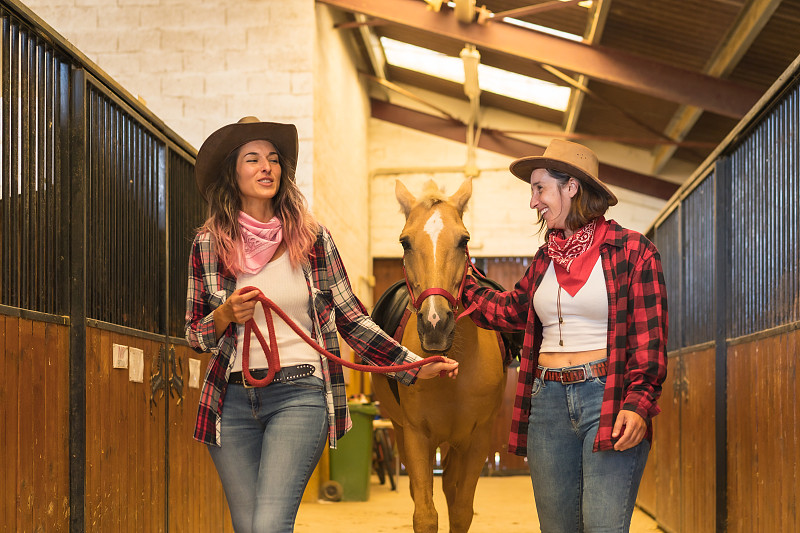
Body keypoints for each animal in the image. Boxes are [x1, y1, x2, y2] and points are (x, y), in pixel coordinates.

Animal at [372, 179, 510, 532]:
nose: (436, 324)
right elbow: (425, 514)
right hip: (400, 430)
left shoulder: (477, 442)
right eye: (405, 242)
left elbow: (461, 511)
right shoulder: (416, 437)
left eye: (464, 240)